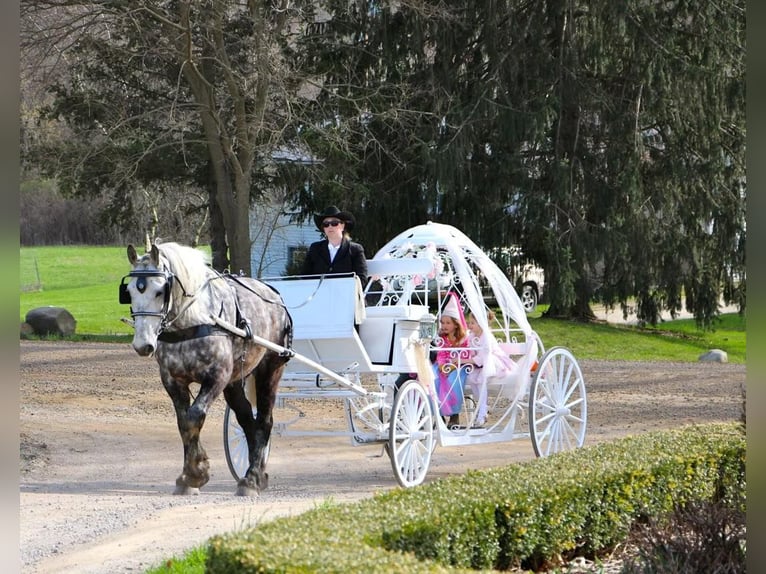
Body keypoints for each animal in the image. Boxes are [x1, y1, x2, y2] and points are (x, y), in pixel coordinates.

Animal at [121, 242, 292, 496]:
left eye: (160, 291)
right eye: (130, 292)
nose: (143, 345)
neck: (193, 322)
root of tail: (275, 295)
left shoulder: (217, 377)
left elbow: (194, 417)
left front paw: (196, 473)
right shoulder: (173, 380)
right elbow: (183, 422)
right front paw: (189, 475)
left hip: (270, 370)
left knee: (264, 421)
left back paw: (253, 478)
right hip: (234, 382)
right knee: (247, 420)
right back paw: (255, 474)